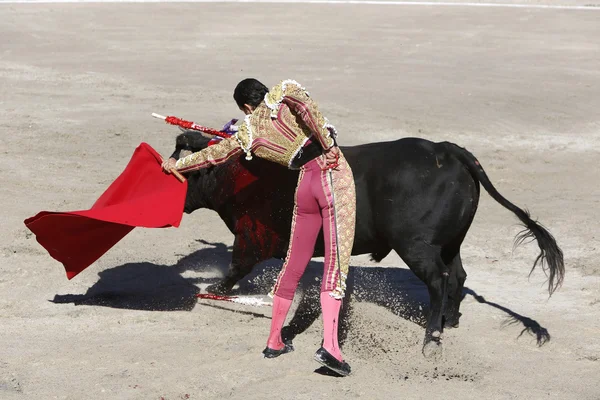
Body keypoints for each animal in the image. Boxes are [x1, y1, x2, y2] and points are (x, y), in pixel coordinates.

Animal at [171, 133, 564, 354]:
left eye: (185, 169)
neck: (239, 174)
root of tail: (449, 151)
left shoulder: (251, 239)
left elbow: (233, 270)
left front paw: (211, 292)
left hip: (416, 246)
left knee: (438, 280)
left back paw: (431, 338)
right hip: (450, 243)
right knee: (457, 275)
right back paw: (449, 320)